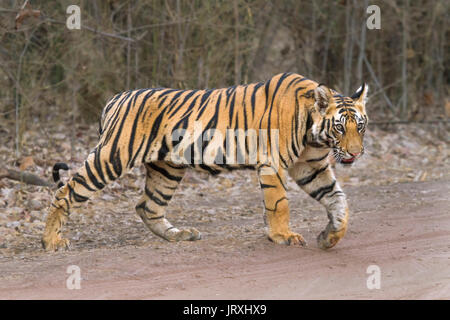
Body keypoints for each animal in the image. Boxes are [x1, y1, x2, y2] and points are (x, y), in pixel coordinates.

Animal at [40, 73, 368, 252]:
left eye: (360, 126)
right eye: (340, 127)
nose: (355, 153)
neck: (314, 135)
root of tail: (115, 98)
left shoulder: (311, 168)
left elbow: (339, 201)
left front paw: (329, 237)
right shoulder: (272, 164)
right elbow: (280, 204)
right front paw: (282, 236)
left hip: (167, 168)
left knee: (148, 206)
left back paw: (179, 235)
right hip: (112, 157)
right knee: (65, 191)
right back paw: (52, 241)